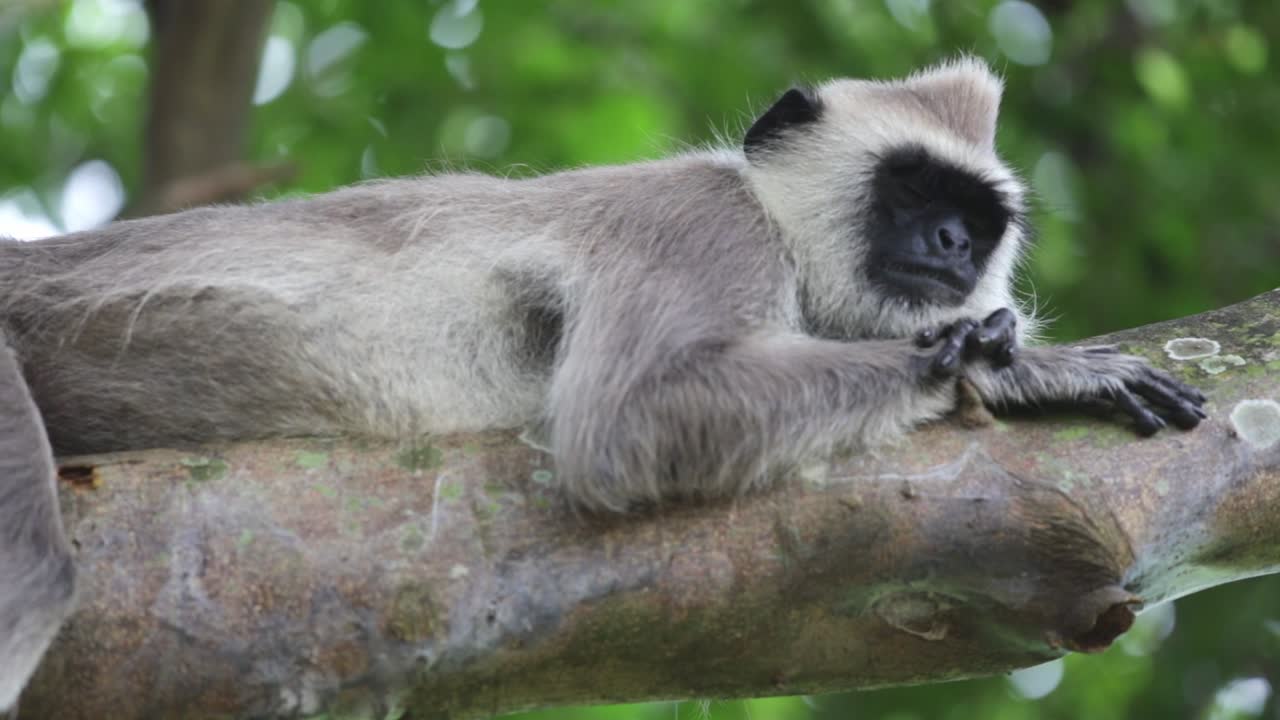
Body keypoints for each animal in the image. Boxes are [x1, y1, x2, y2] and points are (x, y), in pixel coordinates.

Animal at [0, 57, 1205, 710]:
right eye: (911, 189)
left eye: (977, 219)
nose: (952, 247)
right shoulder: (699, 224)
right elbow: (627, 422)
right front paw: (1020, 366)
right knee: (33, 575)